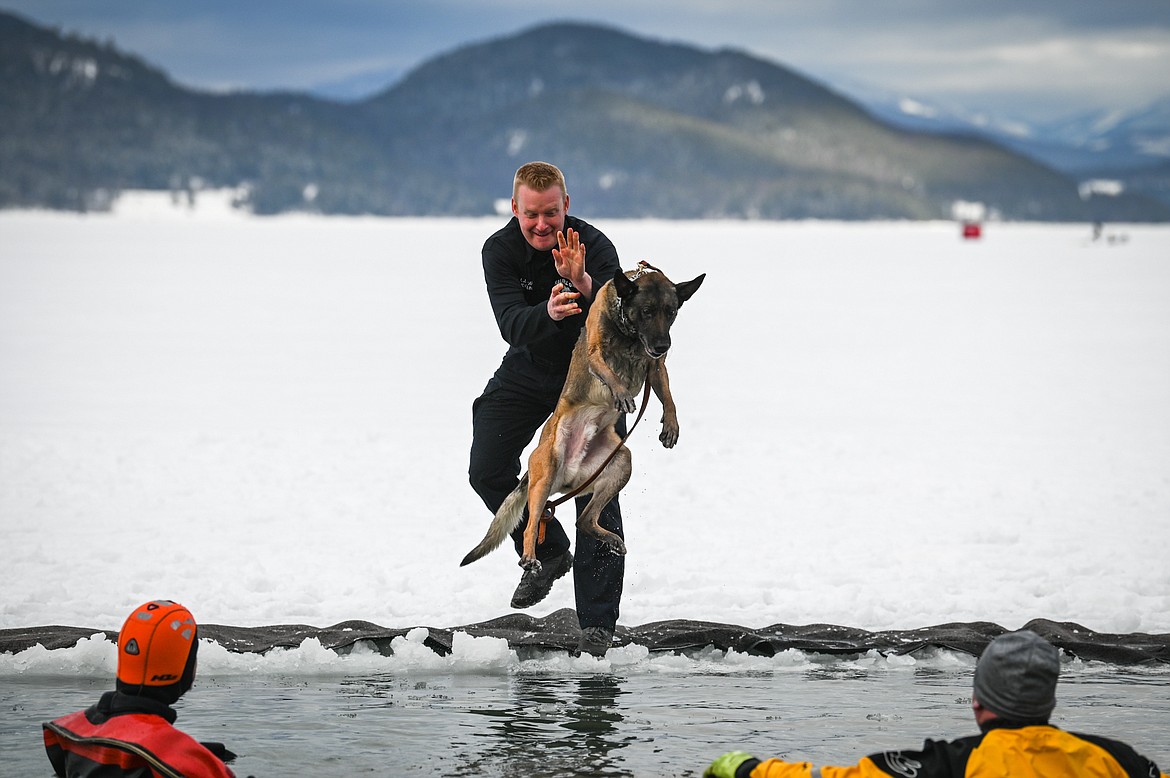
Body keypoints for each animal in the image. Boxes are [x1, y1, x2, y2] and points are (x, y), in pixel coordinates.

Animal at [458, 264, 702, 573]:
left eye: (670, 312)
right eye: (647, 311)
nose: (663, 345)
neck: (629, 335)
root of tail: (568, 475)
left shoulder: (656, 367)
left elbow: (668, 395)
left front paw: (671, 424)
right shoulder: (596, 352)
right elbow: (608, 372)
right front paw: (621, 393)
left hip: (619, 462)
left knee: (583, 520)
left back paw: (611, 539)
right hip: (546, 473)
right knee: (531, 525)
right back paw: (530, 558)